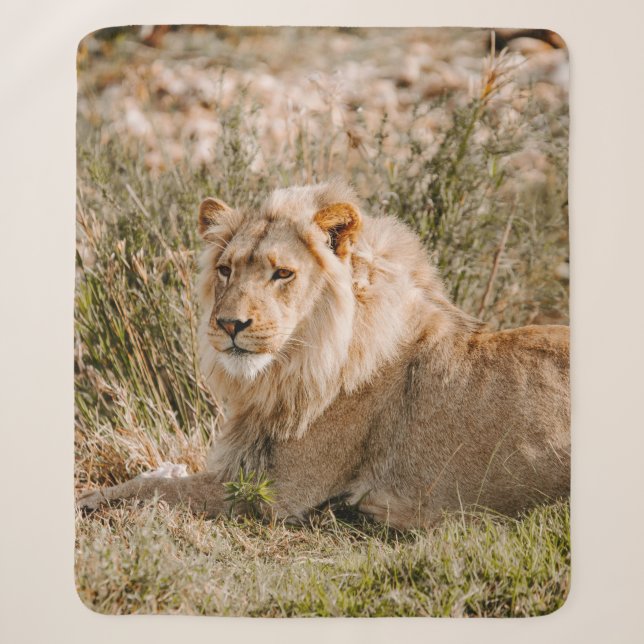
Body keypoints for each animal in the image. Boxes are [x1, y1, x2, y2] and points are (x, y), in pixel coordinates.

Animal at [78, 180, 570, 528]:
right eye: (225, 270)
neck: (289, 370)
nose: (230, 324)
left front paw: (88, 500)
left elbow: (157, 491)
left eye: (282, 273)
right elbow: (156, 478)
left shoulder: (275, 493)